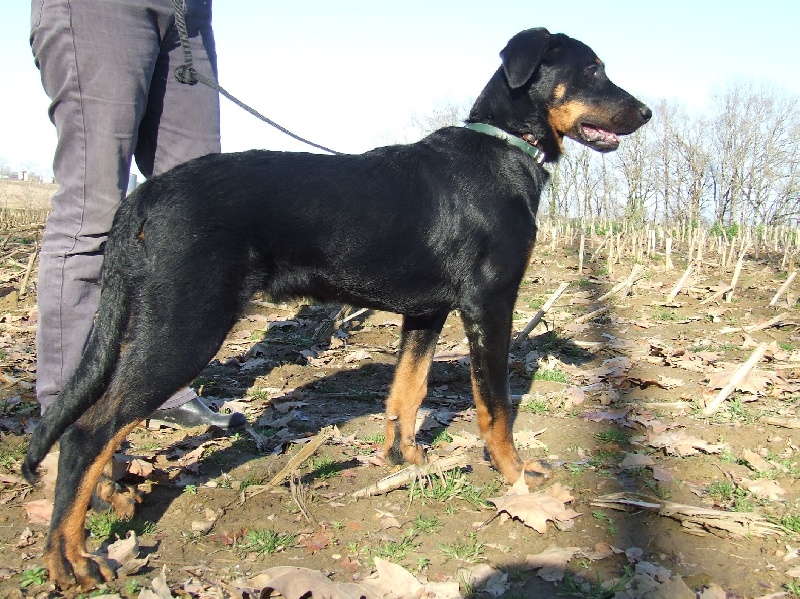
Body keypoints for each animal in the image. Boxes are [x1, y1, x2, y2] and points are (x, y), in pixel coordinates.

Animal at [23, 29, 648, 592]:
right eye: (592, 70)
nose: (644, 111)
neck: (503, 147)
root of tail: (144, 195)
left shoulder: (425, 314)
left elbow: (407, 392)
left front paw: (405, 459)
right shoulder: (490, 305)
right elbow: (495, 407)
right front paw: (516, 475)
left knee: (100, 420)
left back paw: (109, 499)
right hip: (186, 326)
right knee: (88, 430)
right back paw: (69, 559)